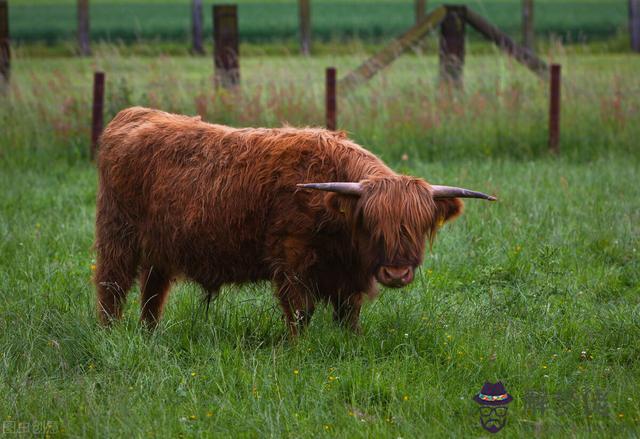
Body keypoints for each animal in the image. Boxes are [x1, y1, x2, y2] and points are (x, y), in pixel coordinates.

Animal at [94, 106, 496, 334]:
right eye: (371, 224)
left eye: (417, 226)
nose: (396, 273)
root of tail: (135, 113)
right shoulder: (291, 261)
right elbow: (299, 313)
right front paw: (294, 349)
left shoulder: (350, 276)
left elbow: (349, 315)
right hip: (118, 234)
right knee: (111, 286)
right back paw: (110, 335)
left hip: (160, 246)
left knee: (152, 292)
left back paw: (150, 334)